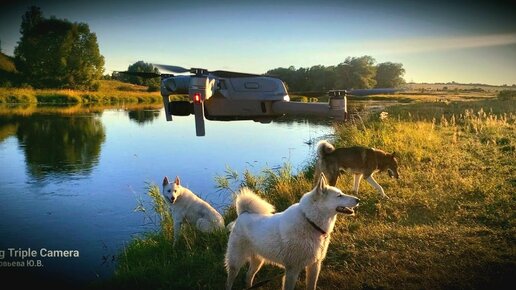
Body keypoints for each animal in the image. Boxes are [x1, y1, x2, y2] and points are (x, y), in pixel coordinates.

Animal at [226, 174, 358, 290]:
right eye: (339, 196)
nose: (358, 199)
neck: (310, 221)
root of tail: (243, 213)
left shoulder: (314, 266)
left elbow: (312, 286)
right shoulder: (292, 270)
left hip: (258, 260)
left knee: (248, 276)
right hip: (235, 263)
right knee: (231, 280)